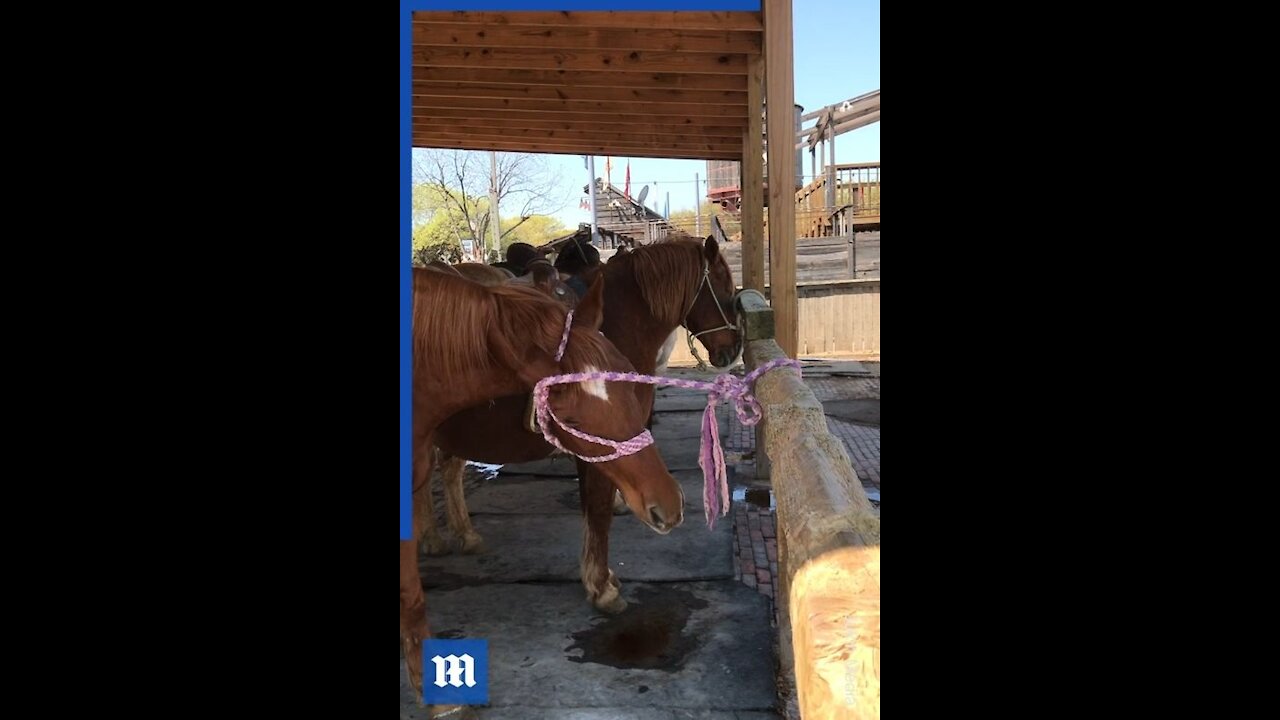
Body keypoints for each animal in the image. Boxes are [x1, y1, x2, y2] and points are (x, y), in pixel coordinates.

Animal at [424, 237, 742, 609]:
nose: (733, 351)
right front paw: (601, 584)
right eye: (726, 288)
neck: (617, 326)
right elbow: (598, 510)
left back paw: (452, 534)